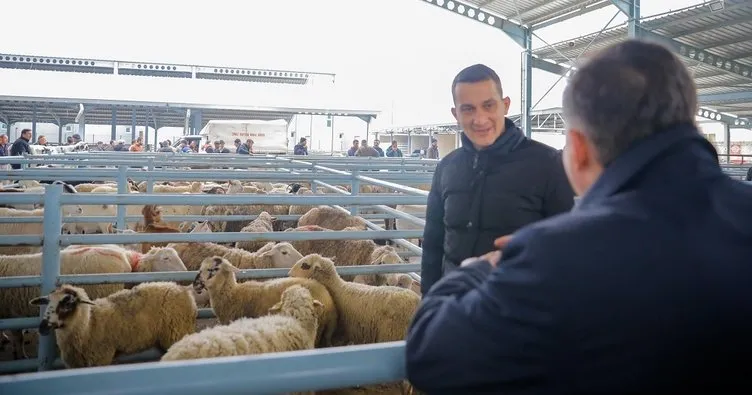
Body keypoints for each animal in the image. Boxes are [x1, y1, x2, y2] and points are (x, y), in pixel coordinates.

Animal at [29, 284, 197, 370]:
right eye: (47, 302)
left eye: (68, 303)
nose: (42, 327)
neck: (88, 325)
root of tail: (182, 289)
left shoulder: (100, 359)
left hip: (177, 332)